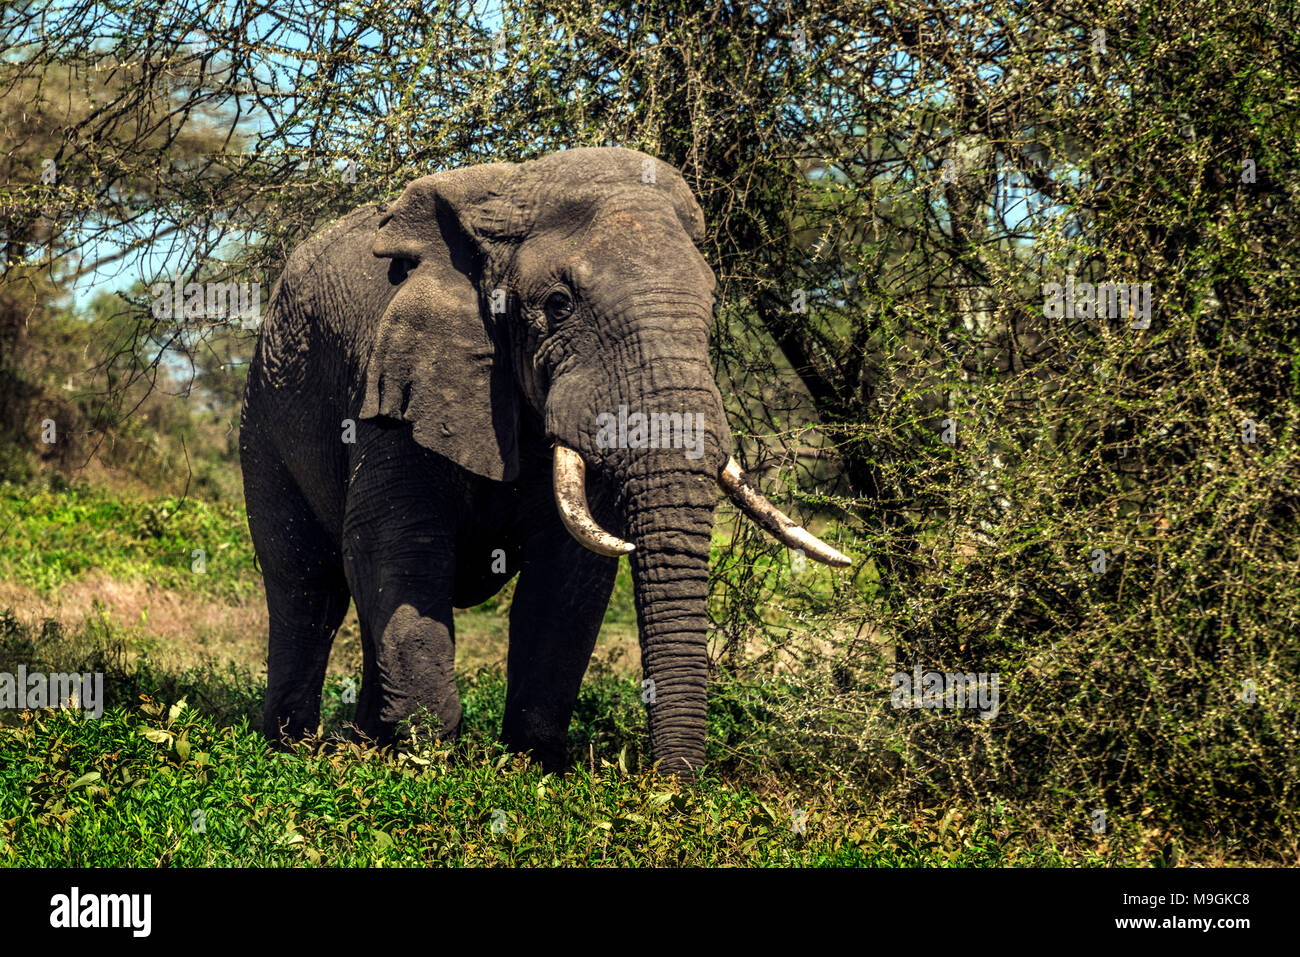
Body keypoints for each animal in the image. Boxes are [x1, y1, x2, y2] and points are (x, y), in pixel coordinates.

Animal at [241, 149, 852, 780]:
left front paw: (531, 770)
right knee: (306, 585)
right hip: (266, 406)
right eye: (559, 306)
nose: (676, 789)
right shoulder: (396, 376)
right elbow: (395, 546)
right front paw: (425, 766)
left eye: (712, 306)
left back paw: (359, 744)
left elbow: (567, 579)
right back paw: (291, 750)